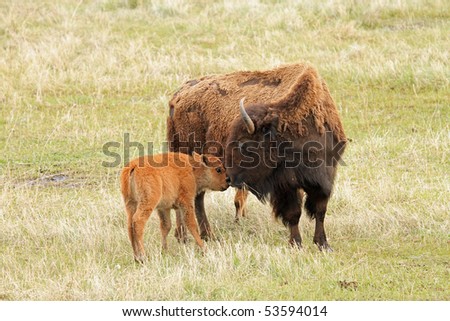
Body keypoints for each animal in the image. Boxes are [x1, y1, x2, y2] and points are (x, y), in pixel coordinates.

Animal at [167, 62, 346, 248]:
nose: (229, 178)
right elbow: (294, 213)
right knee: (192, 198)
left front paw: (323, 244)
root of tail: (178, 96)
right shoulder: (285, 185)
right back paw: (188, 236)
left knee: (196, 198)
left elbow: (320, 210)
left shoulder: (325, 177)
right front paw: (296, 243)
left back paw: (200, 236)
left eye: (244, 144)